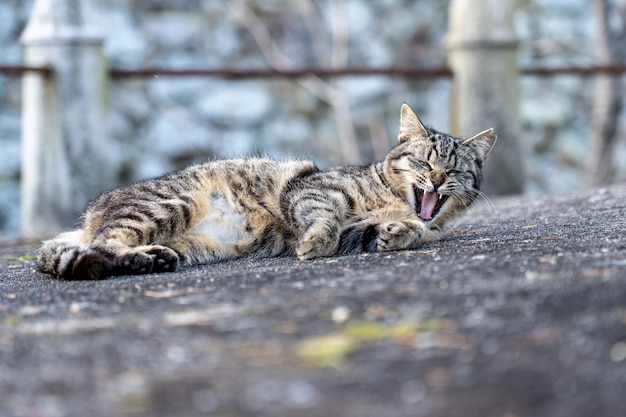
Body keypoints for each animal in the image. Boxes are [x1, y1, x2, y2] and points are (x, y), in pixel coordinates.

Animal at [37, 103, 498, 280]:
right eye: (423, 162)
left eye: (454, 170)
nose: (435, 179)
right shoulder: (314, 190)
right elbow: (326, 220)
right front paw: (315, 244)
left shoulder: (360, 232)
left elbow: (411, 231)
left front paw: (398, 234)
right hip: (167, 205)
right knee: (104, 243)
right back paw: (138, 258)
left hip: (191, 244)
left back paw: (150, 260)